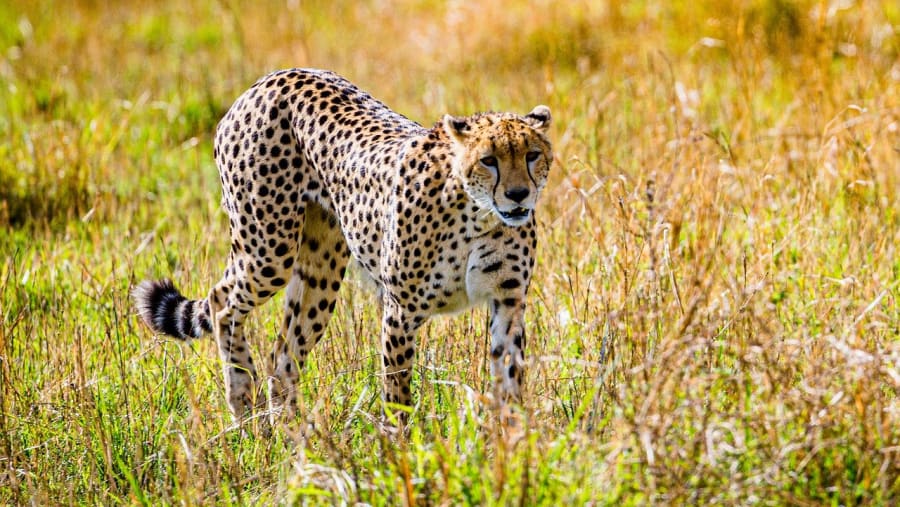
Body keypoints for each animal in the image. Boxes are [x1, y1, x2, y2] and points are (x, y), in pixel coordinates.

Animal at [132, 68, 553, 425]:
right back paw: (245, 411)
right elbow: (397, 391)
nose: (518, 196)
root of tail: (271, 79)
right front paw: (401, 451)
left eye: (532, 155)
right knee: (221, 302)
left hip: (320, 271)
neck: (478, 214)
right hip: (269, 250)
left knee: (282, 357)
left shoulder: (508, 300)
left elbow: (510, 377)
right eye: (488, 160)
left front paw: (514, 446)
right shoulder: (400, 309)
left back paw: (294, 441)